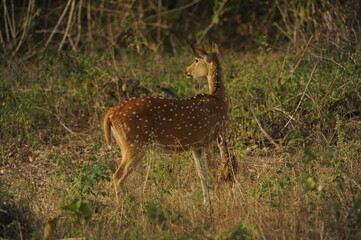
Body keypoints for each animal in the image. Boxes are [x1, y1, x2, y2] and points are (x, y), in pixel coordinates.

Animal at [102, 43, 235, 204]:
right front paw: (214, 201)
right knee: (118, 176)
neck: (220, 99)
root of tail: (110, 114)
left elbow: (201, 174)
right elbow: (211, 171)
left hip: (124, 145)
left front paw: (206, 202)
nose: (186, 71)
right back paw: (122, 207)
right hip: (134, 145)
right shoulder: (210, 138)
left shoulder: (196, 145)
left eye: (196, 60)